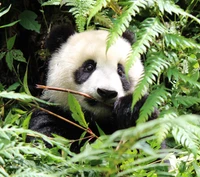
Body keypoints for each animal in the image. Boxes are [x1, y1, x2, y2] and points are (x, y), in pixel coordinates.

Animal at [28, 23, 159, 152]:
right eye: (89, 67)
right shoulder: (54, 113)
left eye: (120, 71)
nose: (107, 92)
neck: (96, 120)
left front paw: (131, 110)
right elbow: (48, 143)